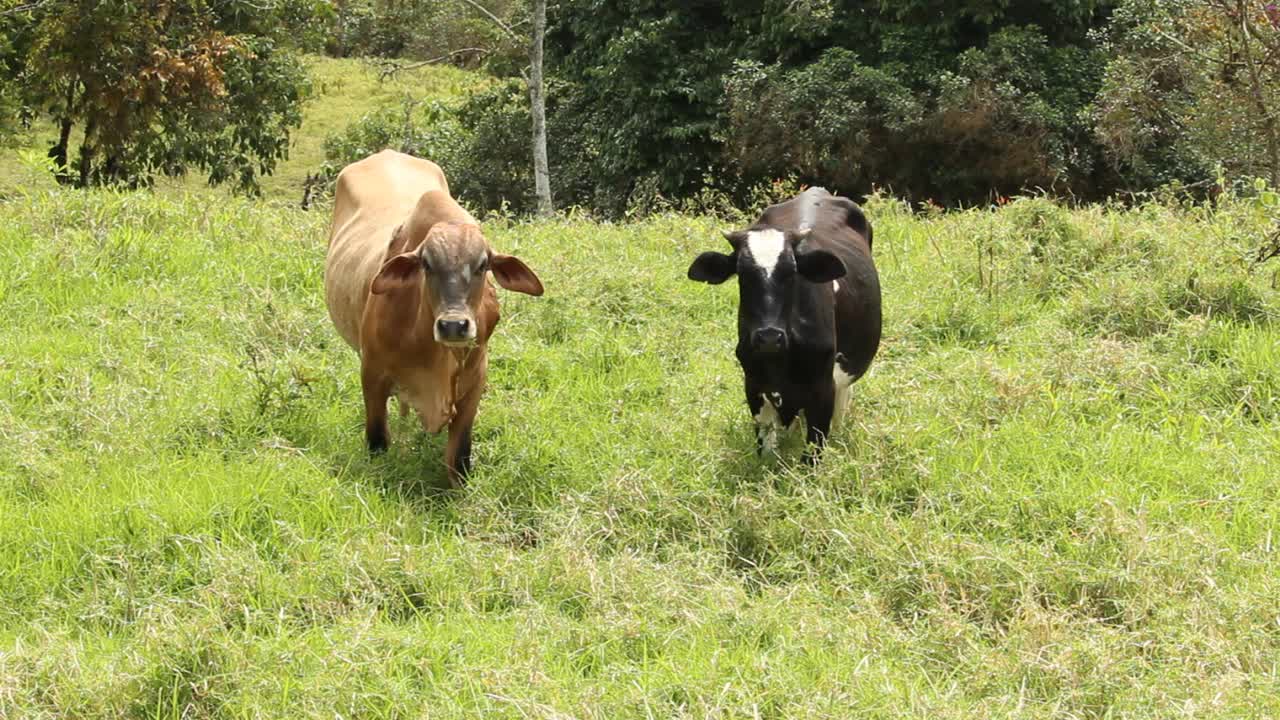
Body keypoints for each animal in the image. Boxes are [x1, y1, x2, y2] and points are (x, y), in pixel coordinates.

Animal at [322, 148, 542, 484]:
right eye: (426, 264)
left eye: (482, 265)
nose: (453, 325)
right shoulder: (371, 374)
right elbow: (377, 442)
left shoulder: (474, 382)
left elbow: (459, 458)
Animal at [691, 185, 880, 458]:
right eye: (742, 274)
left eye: (792, 272)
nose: (769, 337)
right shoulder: (754, 385)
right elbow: (766, 452)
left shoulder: (823, 389)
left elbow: (812, 454)